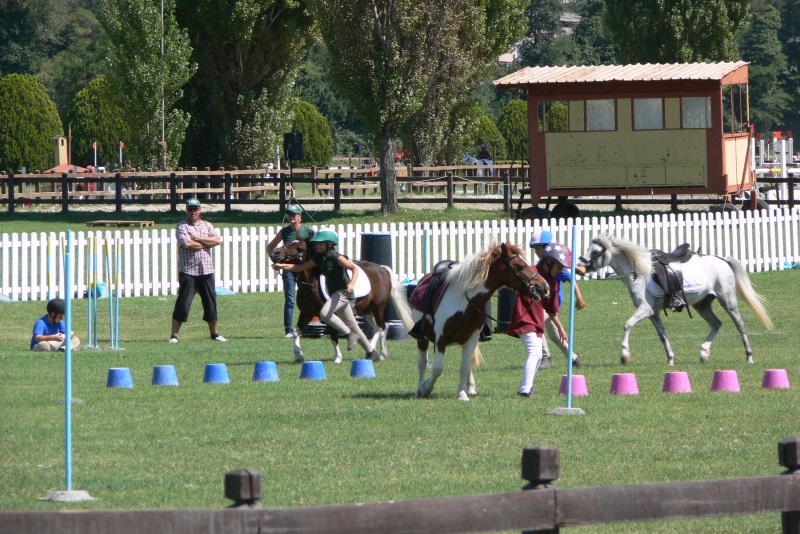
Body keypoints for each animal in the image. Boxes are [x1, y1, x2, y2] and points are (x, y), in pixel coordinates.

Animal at [272, 240, 416, 362]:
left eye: (300, 247)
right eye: (289, 242)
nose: (275, 252)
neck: (311, 285)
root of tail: (382, 269)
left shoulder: (328, 315)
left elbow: (334, 337)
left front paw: (338, 358)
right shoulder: (306, 313)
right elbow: (296, 332)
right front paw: (298, 355)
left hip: (378, 308)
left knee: (382, 328)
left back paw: (377, 353)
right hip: (367, 311)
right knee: (379, 328)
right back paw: (377, 353)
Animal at [580, 236, 772, 366]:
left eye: (595, 251)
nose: (580, 266)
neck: (638, 272)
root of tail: (722, 260)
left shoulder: (645, 309)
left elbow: (627, 325)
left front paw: (624, 355)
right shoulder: (653, 313)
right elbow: (662, 335)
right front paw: (670, 359)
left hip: (727, 300)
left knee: (740, 325)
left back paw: (749, 356)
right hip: (702, 304)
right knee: (716, 323)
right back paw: (704, 353)